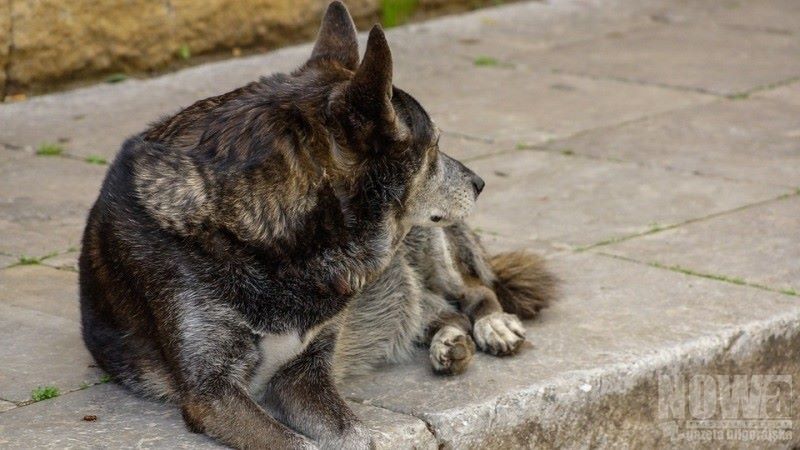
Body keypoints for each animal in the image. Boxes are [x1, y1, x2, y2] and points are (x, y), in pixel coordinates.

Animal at [79, 1, 556, 448]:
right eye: (435, 147)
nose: (480, 183)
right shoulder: (213, 393)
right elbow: (296, 441)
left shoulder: (305, 375)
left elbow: (358, 436)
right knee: (435, 309)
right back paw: (450, 342)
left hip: (428, 242)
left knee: (472, 290)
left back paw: (492, 325)